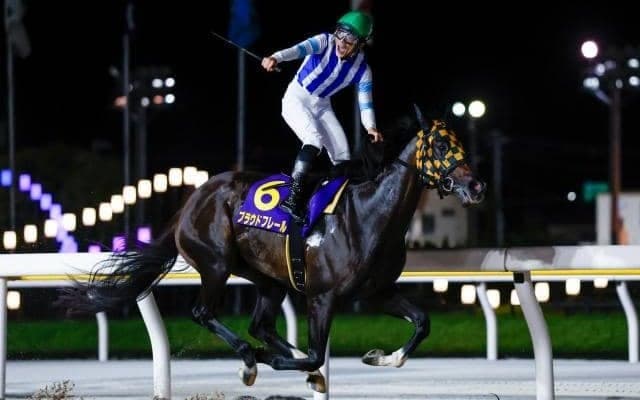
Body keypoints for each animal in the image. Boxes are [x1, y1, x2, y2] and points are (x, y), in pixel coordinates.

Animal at [57, 105, 486, 393]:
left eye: (461, 142)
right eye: (442, 145)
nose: (477, 186)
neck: (370, 214)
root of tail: (192, 200)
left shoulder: (377, 291)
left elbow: (421, 322)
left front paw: (380, 356)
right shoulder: (322, 296)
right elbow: (315, 352)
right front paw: (269, 360)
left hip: (269, 279)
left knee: (260, 325)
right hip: (216, 263)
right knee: (205, 313)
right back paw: (249, 358)